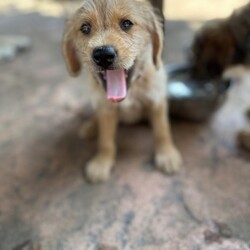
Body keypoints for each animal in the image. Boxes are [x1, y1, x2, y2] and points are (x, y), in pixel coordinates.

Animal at [61, 0, 181, 183]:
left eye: (126, 23)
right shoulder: (106, 109)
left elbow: (162, 130)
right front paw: (102, 161)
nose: (103, 55)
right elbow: (105, 141)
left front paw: (167, 154)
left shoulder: (157, 101)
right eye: (85, 28)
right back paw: (91, 126)